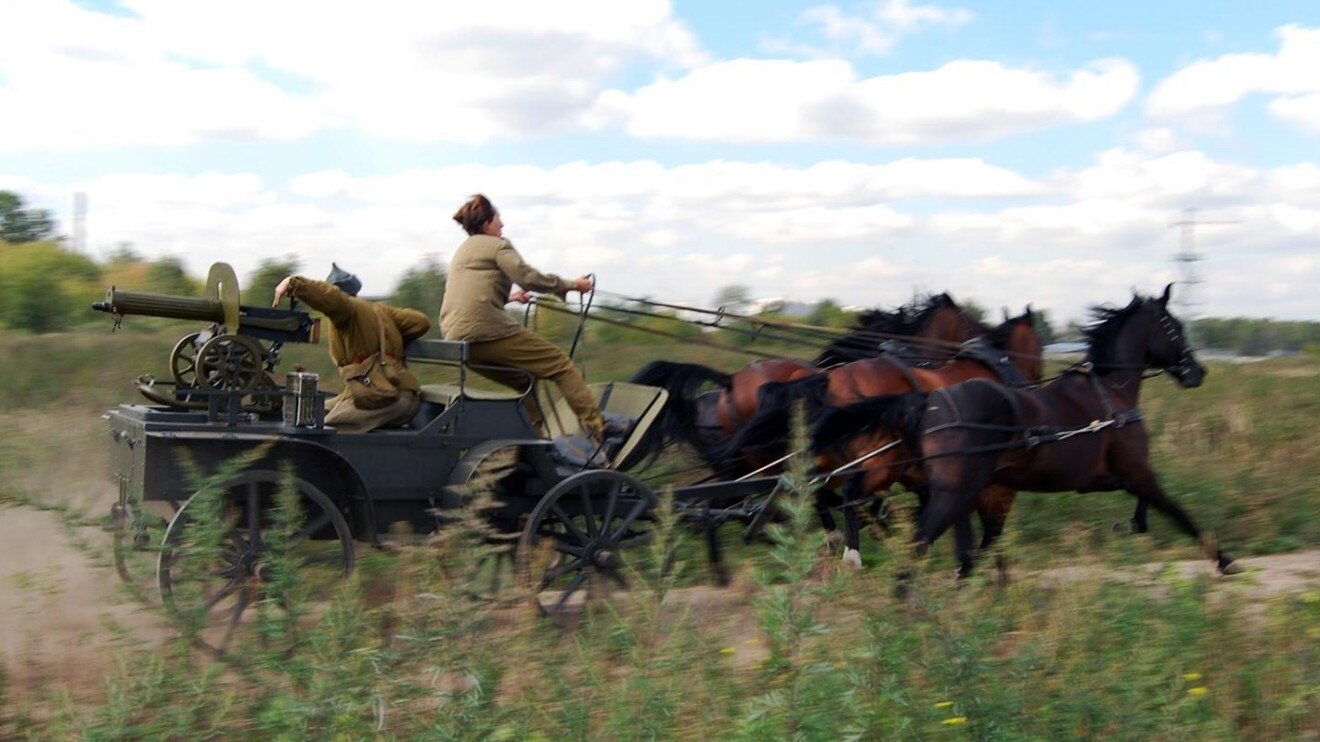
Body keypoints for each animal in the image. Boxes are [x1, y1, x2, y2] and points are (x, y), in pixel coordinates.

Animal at [815, 285, 1239, 579]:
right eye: (1174, 327)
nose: (1197, 372)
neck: (1109, 392)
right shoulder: (1128, 470)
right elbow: (1173, 508)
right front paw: (1222, 559)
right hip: (886, 465)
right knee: (848, 493)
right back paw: (854, 549)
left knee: (842, 492)